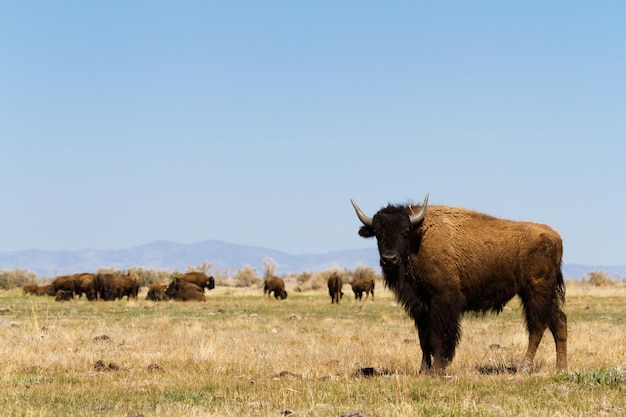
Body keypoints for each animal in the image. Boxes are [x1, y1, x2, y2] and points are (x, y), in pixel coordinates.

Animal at [352, 193, 564, 376]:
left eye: (405, 232)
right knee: (559, 321)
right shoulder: (420, 306)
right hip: (546, 294)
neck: (419, 238)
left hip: (535, 291)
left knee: (537, 327)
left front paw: (437, 371)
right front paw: (423, 371)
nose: (389, 258)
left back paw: (524, 369)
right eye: (378, 233)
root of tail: (555, 236)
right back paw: (560, 368)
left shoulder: (443, 300)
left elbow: (438, 337)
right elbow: (423, 339)